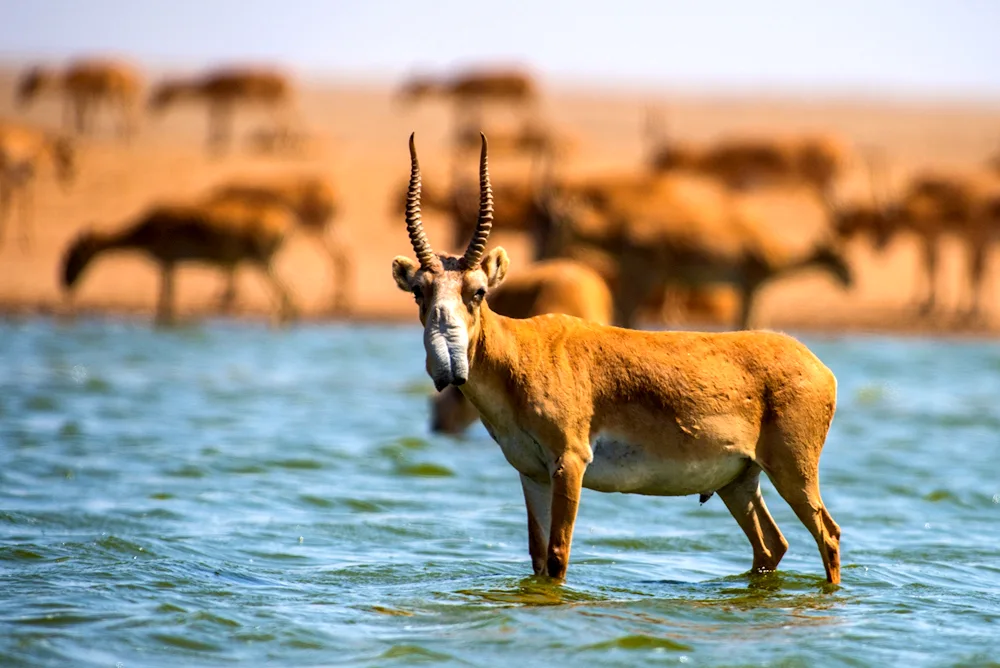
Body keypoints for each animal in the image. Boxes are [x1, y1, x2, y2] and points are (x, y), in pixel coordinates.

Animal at [148, 69, 294, 155]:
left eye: (160, 93)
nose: (150, 106)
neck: (207, 86)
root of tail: (285, 82)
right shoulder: (224, 100)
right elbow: (221, 118)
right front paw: (220, 143)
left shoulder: (220, 98)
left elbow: (217, 118)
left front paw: (214, 144)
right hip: (273, 102)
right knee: (283, 118)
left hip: (270, 101)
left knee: (281, 119)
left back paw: (280, 146)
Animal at [203, 176, 352, 314]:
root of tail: (330, 190)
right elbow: (231, 269)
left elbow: (231, 269)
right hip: (321, 231)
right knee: (342, 257)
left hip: (316, 230)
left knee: (341, 257)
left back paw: (330, 302)